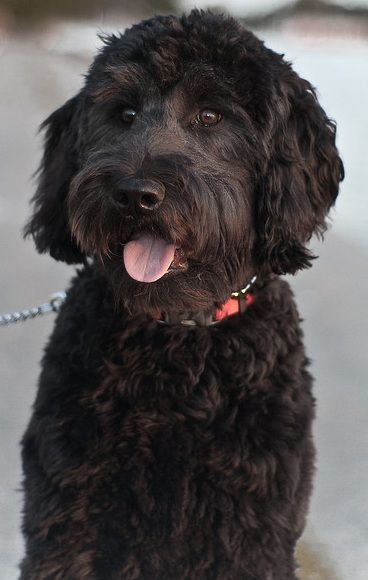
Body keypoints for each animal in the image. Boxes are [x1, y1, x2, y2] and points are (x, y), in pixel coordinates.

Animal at [20, 10, 342, 580]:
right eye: (124, 113)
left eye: (211, 116)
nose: (134, 195)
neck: (179, 337)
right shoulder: (65, 510)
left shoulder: (254, 526)